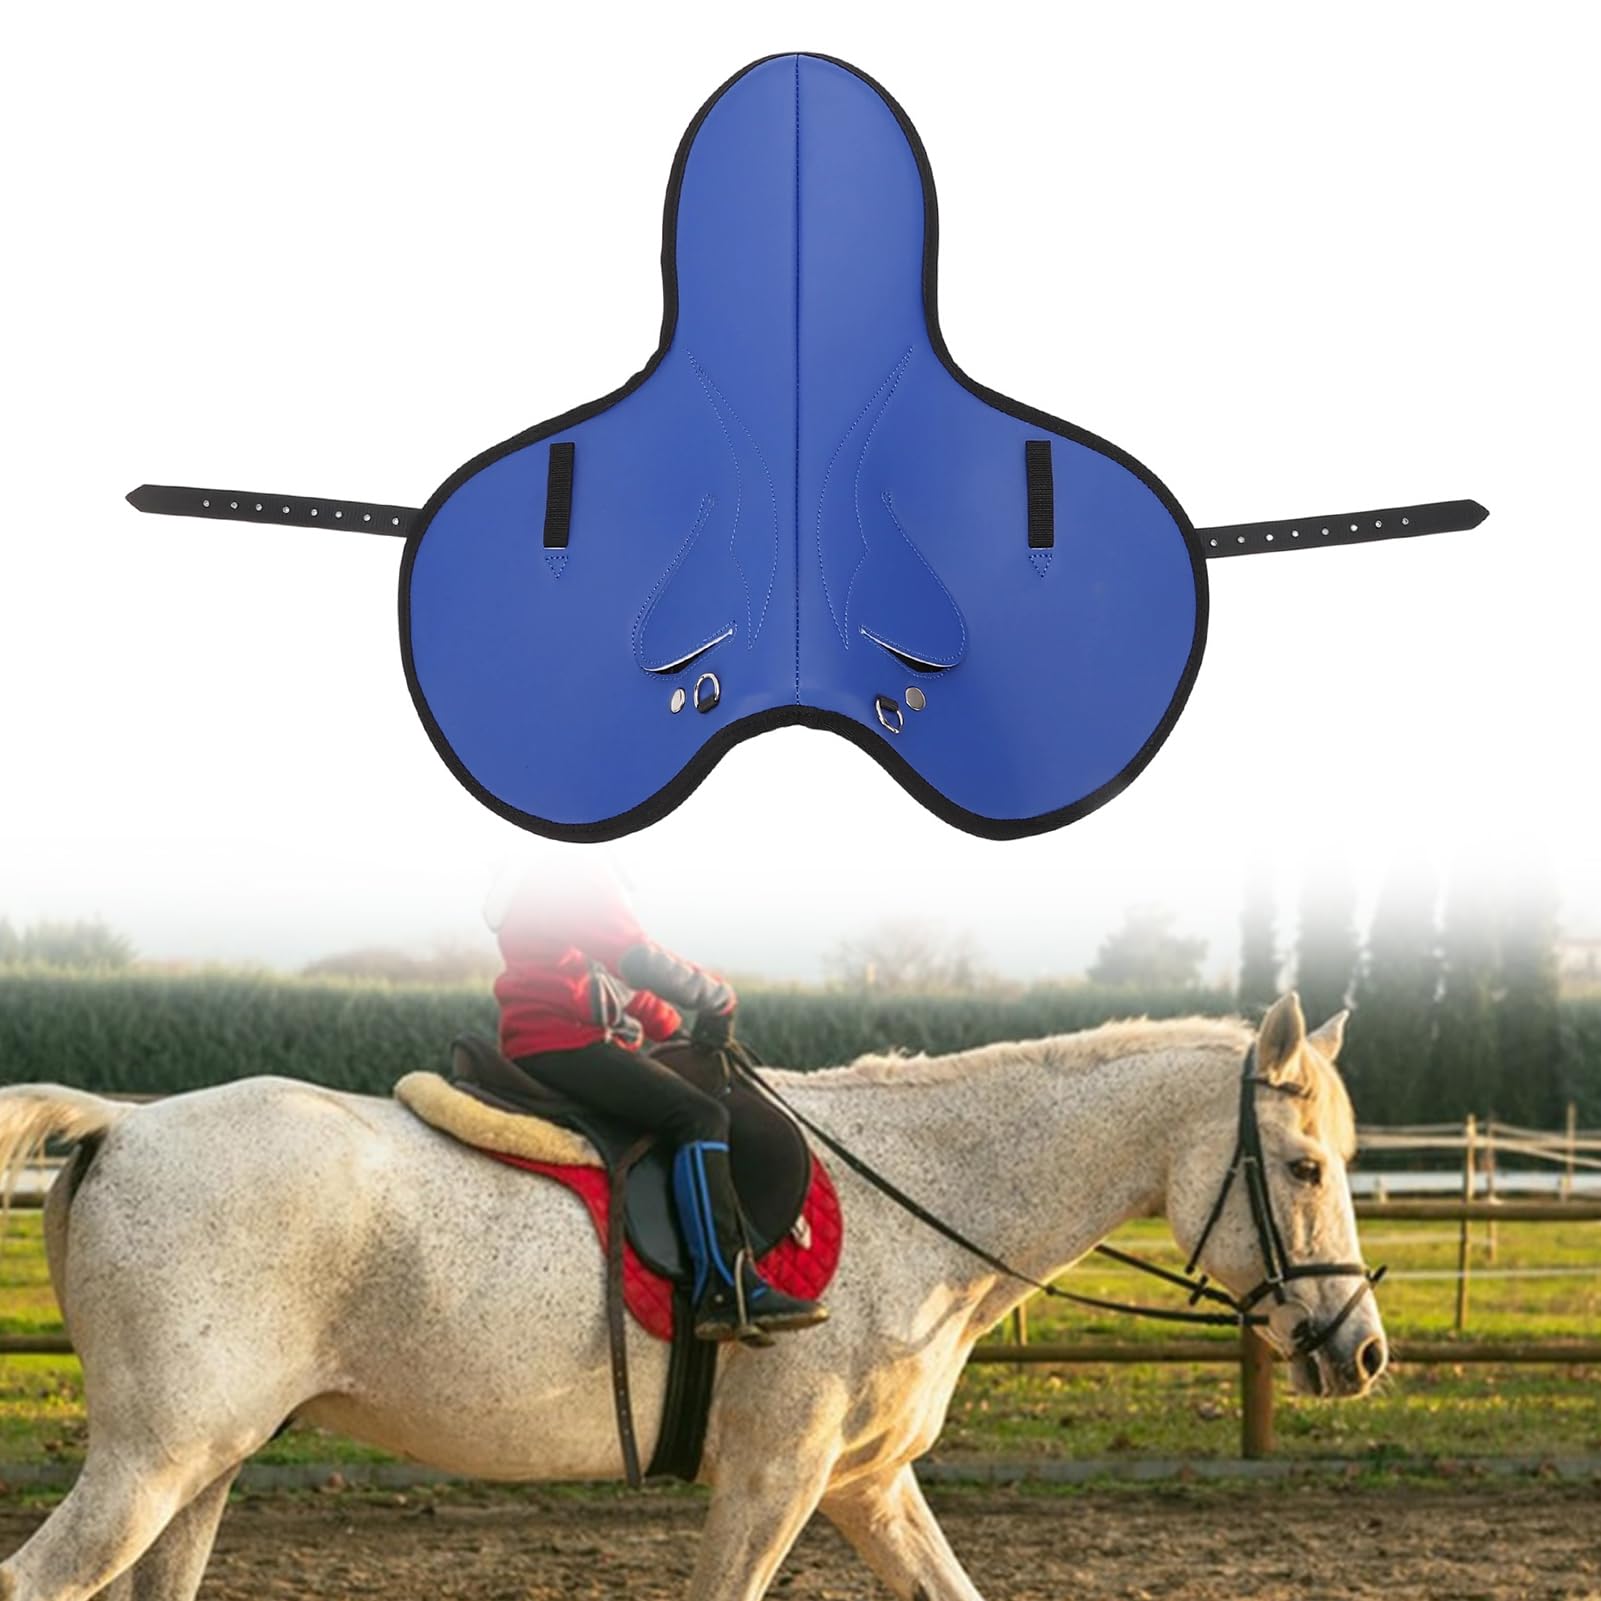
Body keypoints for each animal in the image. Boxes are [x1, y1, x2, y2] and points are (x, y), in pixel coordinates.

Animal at [0, 991, 1386, 1601]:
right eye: (1305, 1166)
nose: (1361, 1350)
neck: (918, 1196)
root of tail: (120, 1123)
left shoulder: (863, 1483)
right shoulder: (775, 1477)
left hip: (202, 1466)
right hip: (152, 1462)